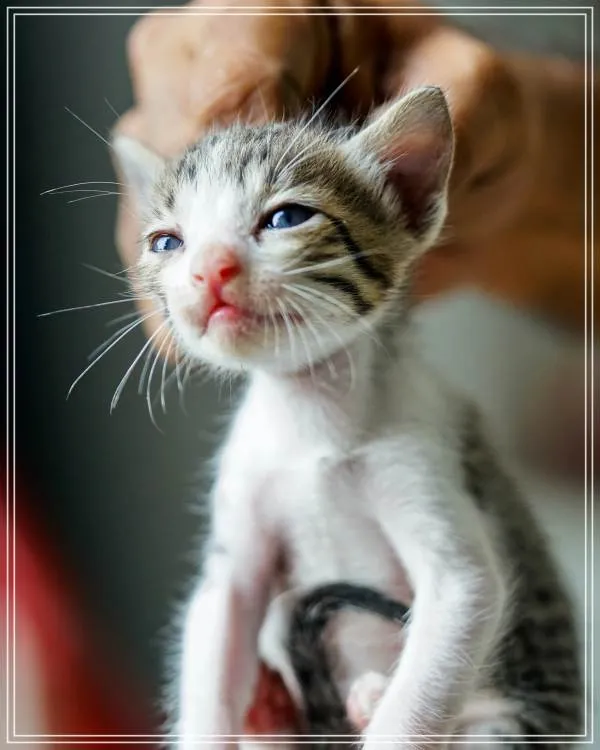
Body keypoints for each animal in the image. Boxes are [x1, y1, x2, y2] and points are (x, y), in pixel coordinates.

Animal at [113, 86, 582, 750]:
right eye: (167, 243)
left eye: (286, 218)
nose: (210, 269)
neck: (311, 419)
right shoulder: (234, 558)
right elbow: (215, 629)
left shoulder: (431, 483)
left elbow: (454, 612)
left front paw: (394, 720)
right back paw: (276, 715)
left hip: (505, 722)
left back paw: (366, 701)